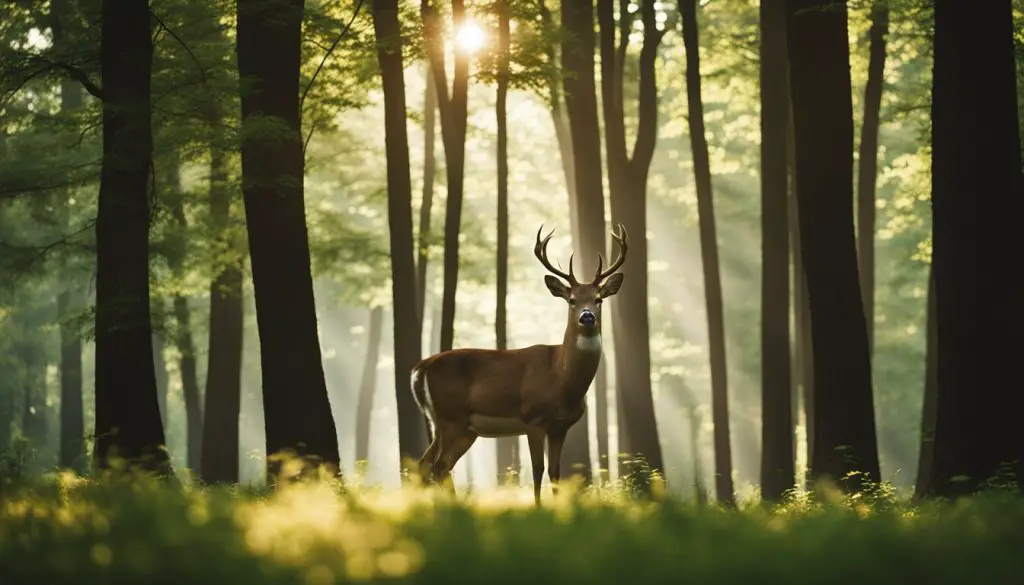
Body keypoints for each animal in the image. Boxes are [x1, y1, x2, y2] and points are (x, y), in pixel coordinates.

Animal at [409, 223, 628, 504]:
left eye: (599, 298)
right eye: (572, 300)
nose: (587, 316)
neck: (561, 379)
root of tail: (421, 367)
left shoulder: (560, 427)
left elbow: (555, 472)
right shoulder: (533, 418)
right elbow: (537, 470)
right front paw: (538, 507)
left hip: (460, 427)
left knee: (429, 465)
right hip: (450, 417)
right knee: (437, 465)